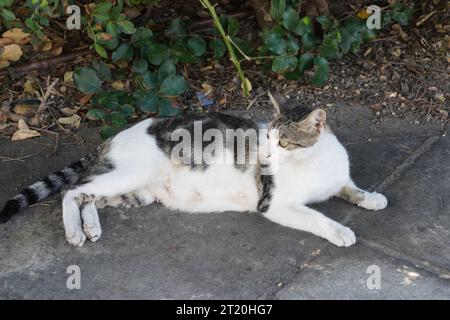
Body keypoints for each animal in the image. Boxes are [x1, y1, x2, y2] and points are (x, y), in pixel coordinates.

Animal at [0, 92, 386, 248]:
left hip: (134, 192)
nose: (264, 152)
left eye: (284, 142)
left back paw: (91, 227)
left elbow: (351, 187)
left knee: (88, 195)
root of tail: (114, 136)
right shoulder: (274, 203)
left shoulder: (339, 178)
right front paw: (341, 232)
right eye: (268, 138)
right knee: (72, 190)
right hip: (133, 174)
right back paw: (75, 232)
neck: (313, 162)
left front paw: (372, 198)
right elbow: (318, 217)